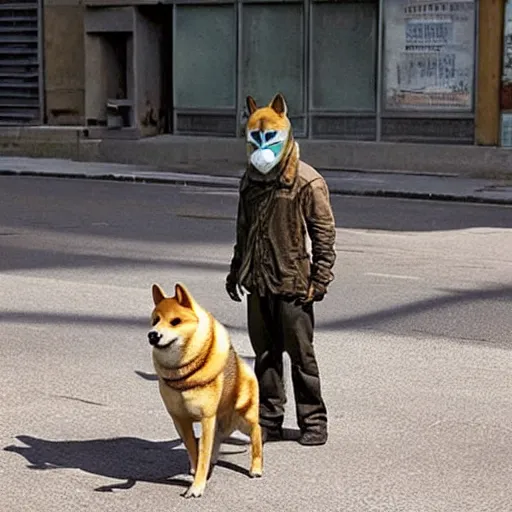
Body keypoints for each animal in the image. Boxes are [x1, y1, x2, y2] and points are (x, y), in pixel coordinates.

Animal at [147, 282, 260, 498]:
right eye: (155, 320)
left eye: (175, 321)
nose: (153, 335)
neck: (184, 374)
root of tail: (243, 363)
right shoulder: (180, 419)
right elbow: (194, 449)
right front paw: (196, 469)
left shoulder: (207, 417)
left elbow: (203, 452)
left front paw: (197, 487)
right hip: (222, 422)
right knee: (218, 441)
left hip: (244, 416)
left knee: (257, 433)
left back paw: (256, 467)